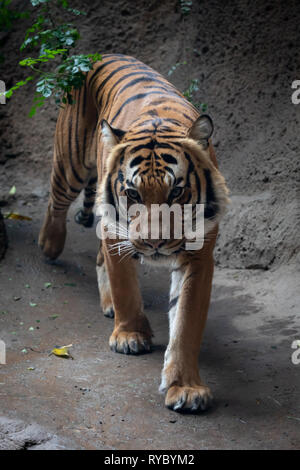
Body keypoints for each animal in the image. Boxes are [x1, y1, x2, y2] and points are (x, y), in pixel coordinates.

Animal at [38, 54, 229, 412]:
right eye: (133, 193)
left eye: (176, 192)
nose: (153, 243)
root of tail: (101, 55)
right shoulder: (116, 232)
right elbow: (125, 285)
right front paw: (129, 336)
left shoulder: (199, 256)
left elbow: (186, 324)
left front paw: (186, 388)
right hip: (71, 164)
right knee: (56, 201)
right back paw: (49, 245)